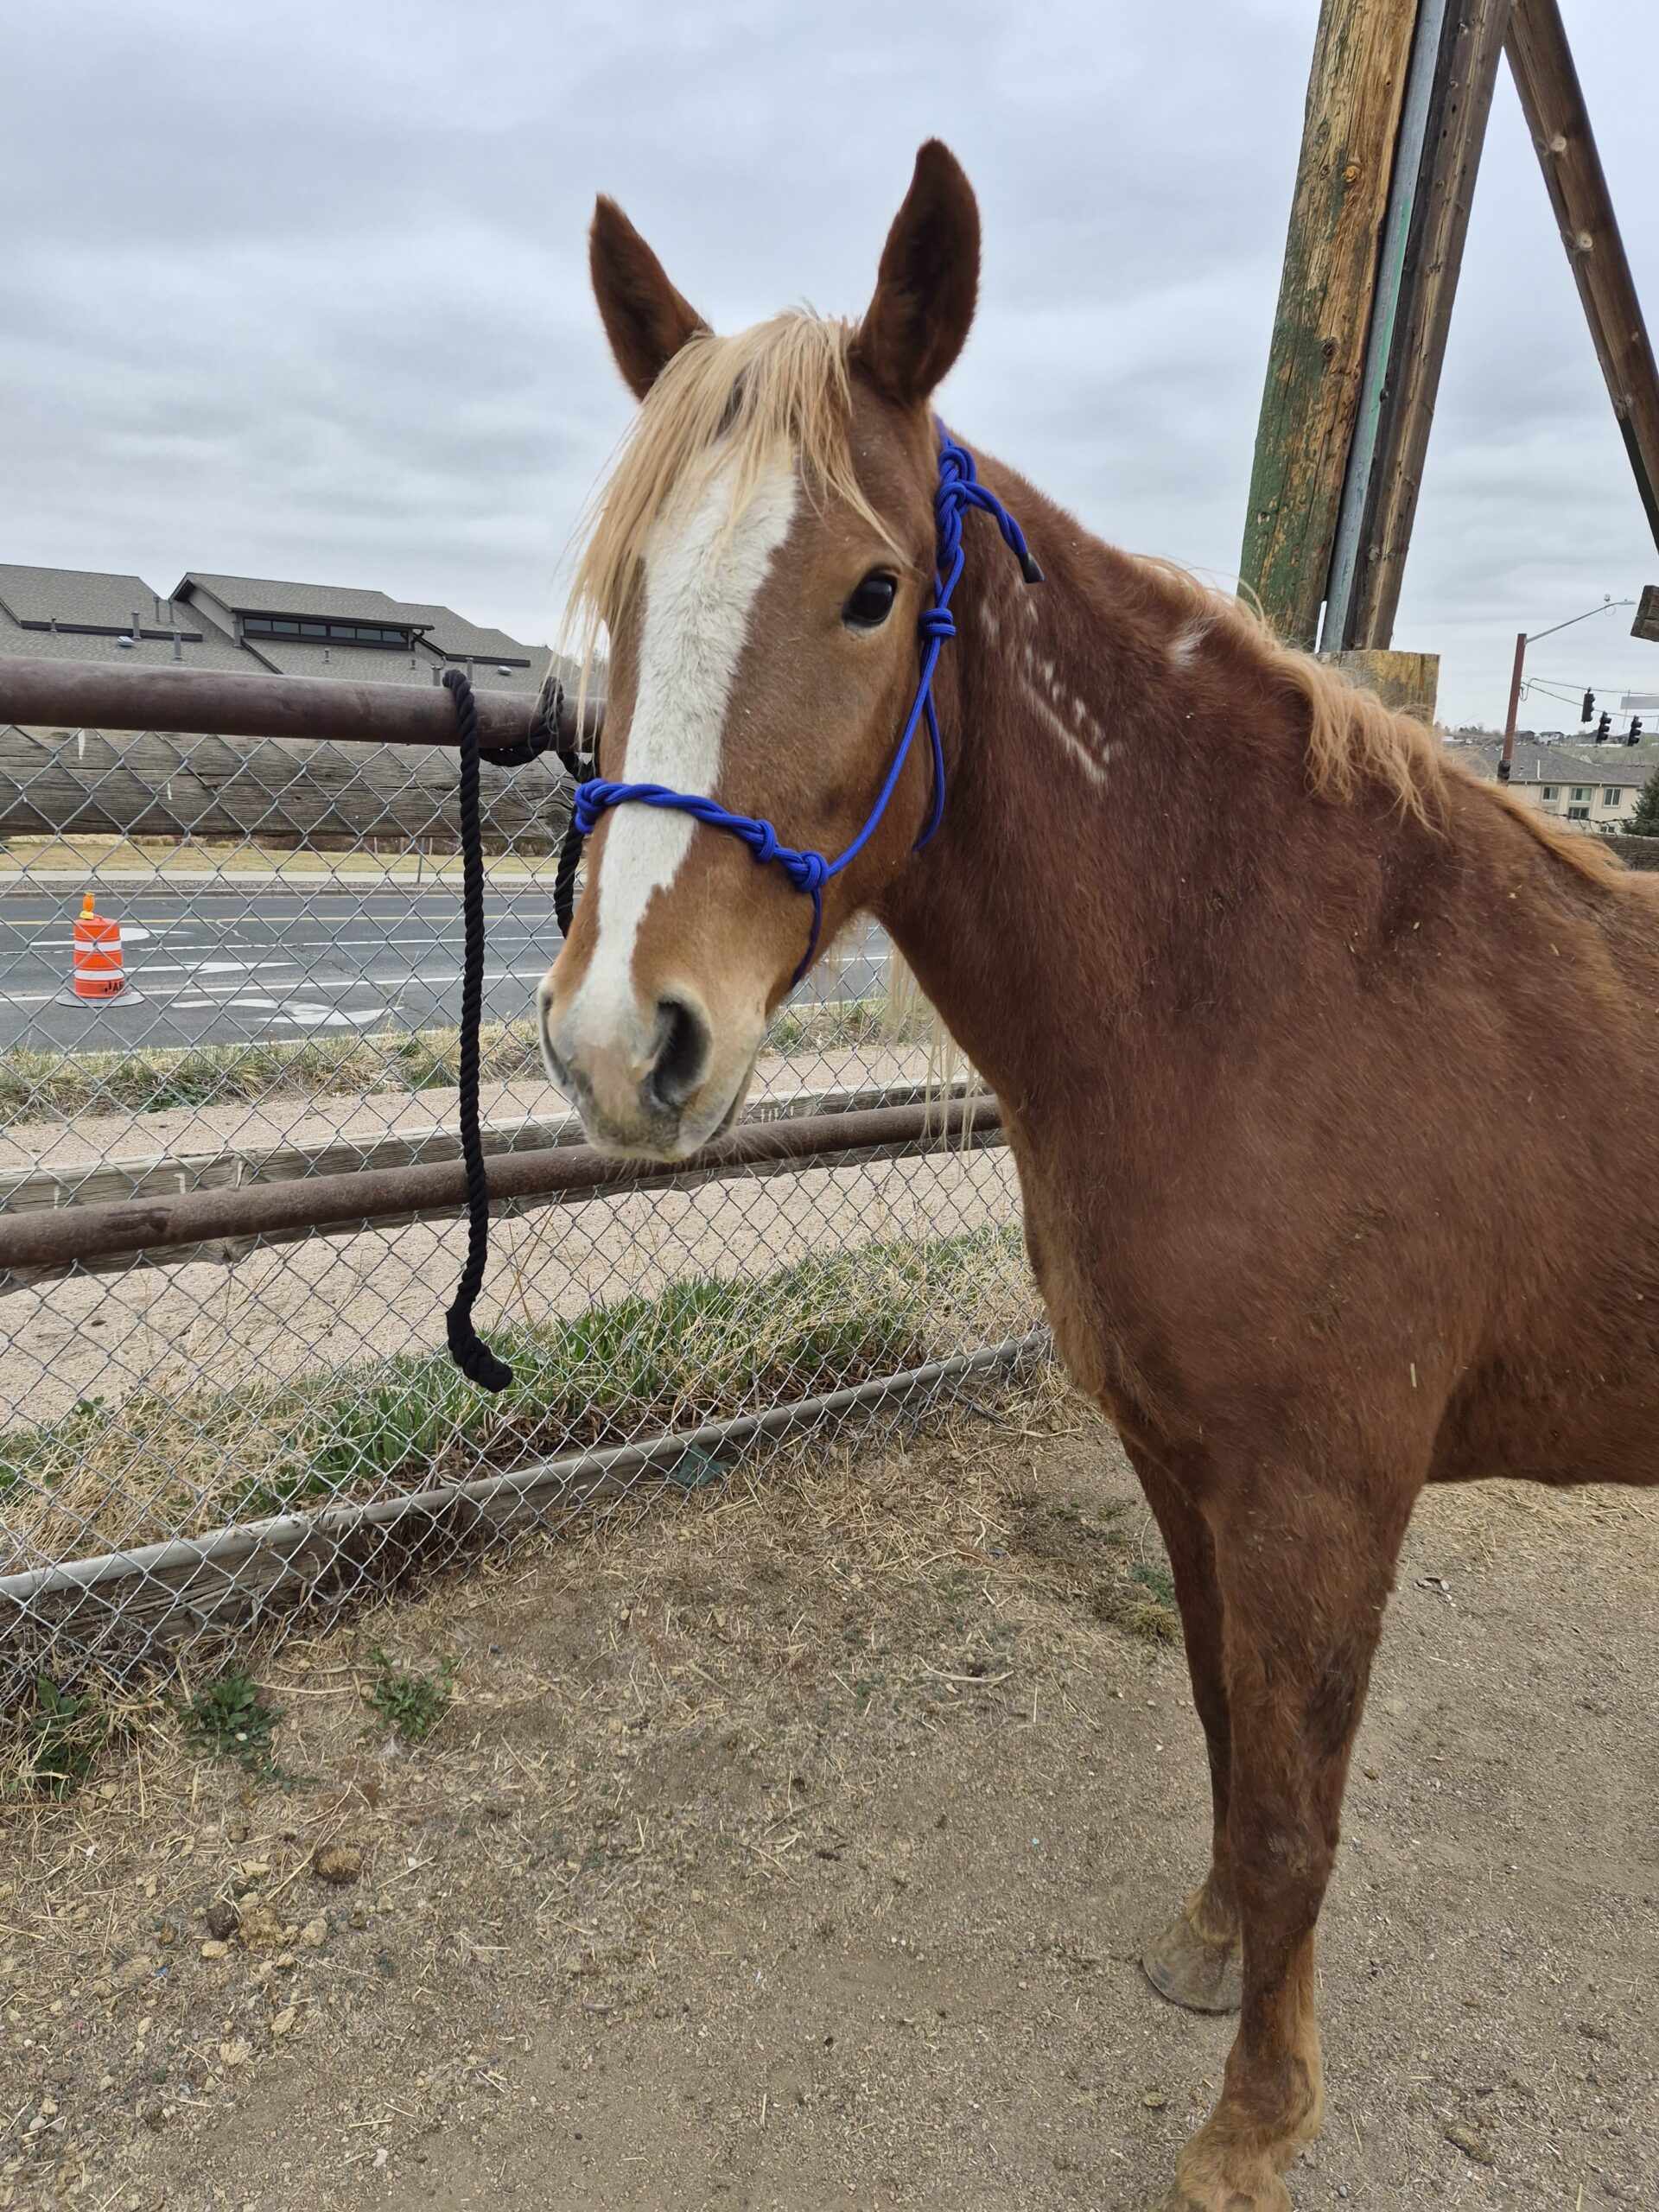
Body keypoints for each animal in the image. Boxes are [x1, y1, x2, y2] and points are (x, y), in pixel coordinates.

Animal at [538, 140, 1659, 2212]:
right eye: (632, 590)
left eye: (874, 592)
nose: (616, 1039)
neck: (1272, 983)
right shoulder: (1182, 1460)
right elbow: (1227, 1725)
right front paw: (1209, 1948)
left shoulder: (1323, 1494)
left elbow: (1301, 1807)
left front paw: (1252, 2123)